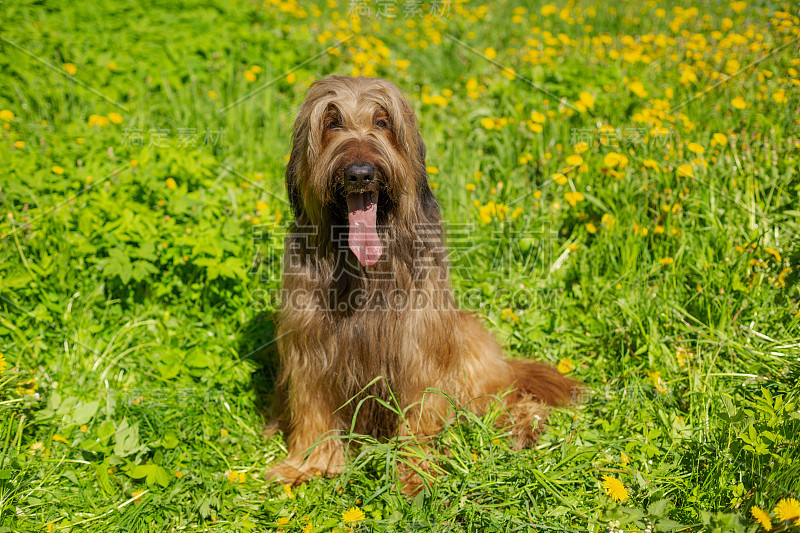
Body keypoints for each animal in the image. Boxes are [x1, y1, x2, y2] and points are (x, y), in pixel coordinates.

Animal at [266, 76, 580, 490]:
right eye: (331, 122)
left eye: (382, 121)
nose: (360, 174)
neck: (367, 271)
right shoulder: (310, 346)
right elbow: (312, 405)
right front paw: (308, 463)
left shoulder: (418, 346)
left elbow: (419, 410)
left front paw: (414, 472)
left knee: (507, 398)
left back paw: (523, 426)